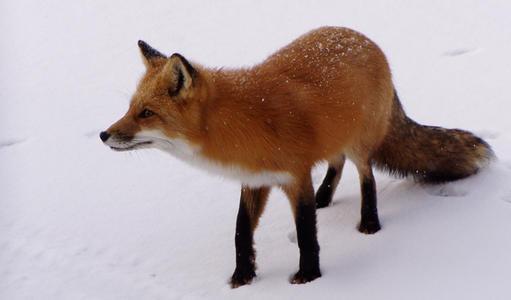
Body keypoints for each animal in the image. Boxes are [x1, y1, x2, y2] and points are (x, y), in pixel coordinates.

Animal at [101, 27, 496, 288]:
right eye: (131, 108)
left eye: (147, 114)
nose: (104, 135)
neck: (244, 122)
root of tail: (365, 39)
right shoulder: (254, 180)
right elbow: (241, 232)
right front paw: (242, 276)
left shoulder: (295, 176)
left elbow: (306, 232)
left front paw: (309, 276)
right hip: (337, 137)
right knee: (336, 163)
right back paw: (326, 197)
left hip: (359, 143)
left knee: (365, 176)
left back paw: (369, 222)